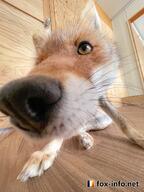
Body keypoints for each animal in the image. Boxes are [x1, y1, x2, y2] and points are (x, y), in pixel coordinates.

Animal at [0, 0, 144, 182]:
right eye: (40, 61)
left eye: (85, 48)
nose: (17, 99)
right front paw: (45, 153)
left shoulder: (100, 97)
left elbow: (124, 123)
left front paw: (138, 138)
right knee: (75, 130)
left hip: (103, 121)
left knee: (81, 127)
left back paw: (85, 138)